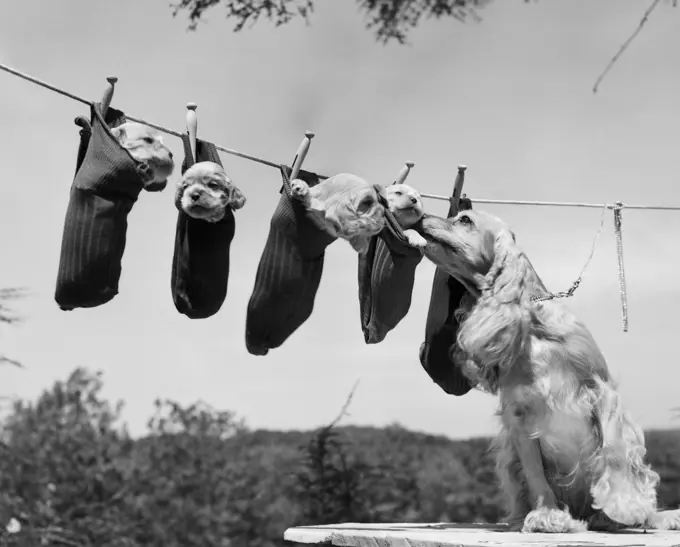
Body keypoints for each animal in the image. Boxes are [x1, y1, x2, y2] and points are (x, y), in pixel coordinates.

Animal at [414, 211, 680, 536]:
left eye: (464, 219)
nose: (421, 214)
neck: (533, 326)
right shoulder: (521, 416)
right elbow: (535, 472)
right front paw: (547, 516)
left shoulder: (602, 392)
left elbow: (613, 453)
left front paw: (623, 506)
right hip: (509, 458)